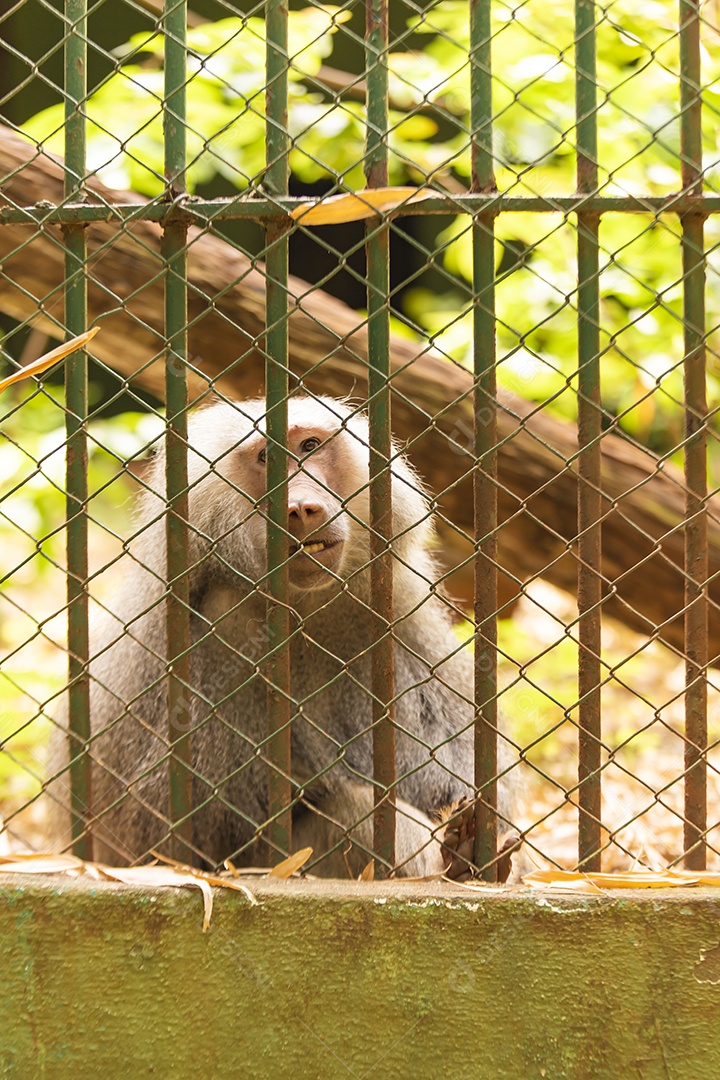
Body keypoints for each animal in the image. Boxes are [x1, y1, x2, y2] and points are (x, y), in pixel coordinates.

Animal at [49, 394, 513, 876]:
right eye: (265, 459)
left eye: (310, 445)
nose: (302, 507)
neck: (300, 608)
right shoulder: (224, 625)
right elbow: (179, 832)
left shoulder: (396, 606)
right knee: (359, 816)